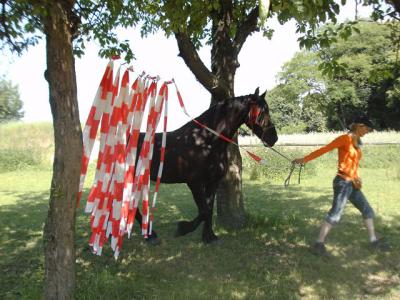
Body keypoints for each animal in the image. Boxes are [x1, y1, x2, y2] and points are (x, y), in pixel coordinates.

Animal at [136, 88, 276, 244]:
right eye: (262, 112)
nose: (273, 138)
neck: (204, 141)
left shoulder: (212, 182)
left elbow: (208, 209)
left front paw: (209, 237)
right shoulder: (194, 183)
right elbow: (204, 211)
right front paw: (183, 228)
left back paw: (150, 235)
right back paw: (150, 236)